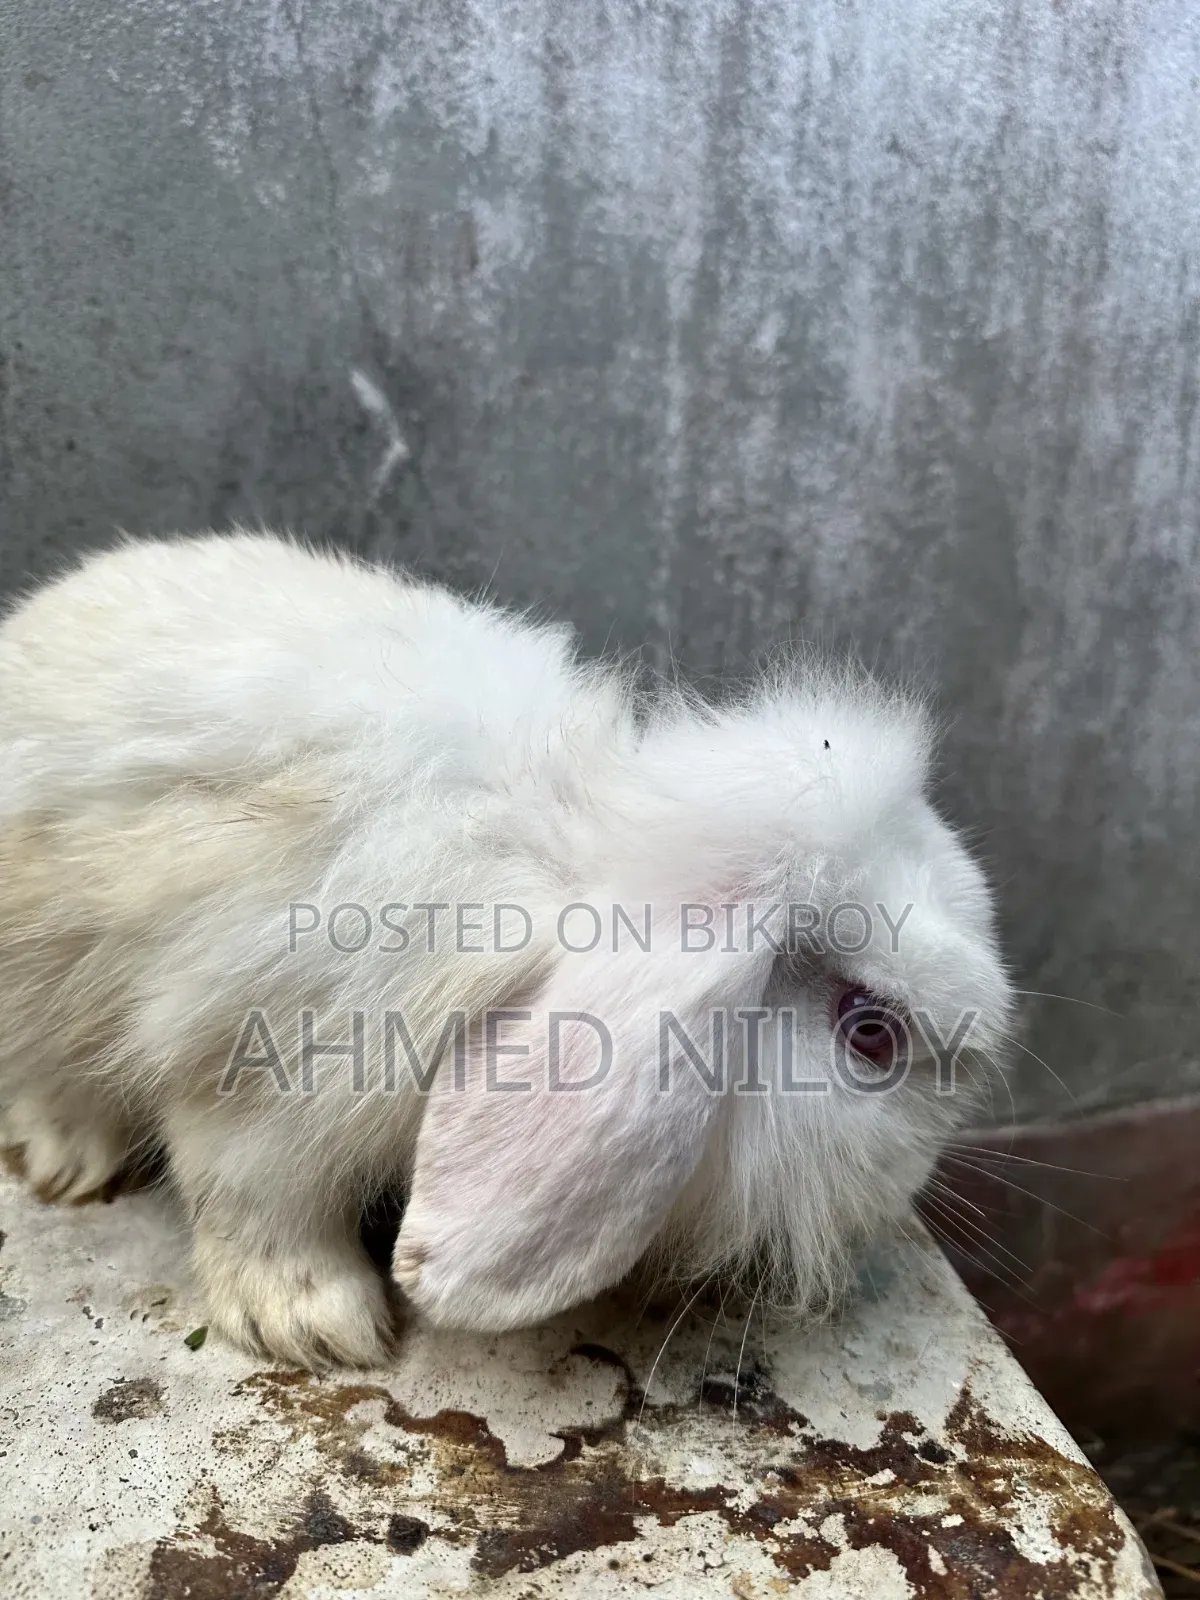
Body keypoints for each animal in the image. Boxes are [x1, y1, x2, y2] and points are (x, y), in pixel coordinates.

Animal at [0, 530, 1013, 1368]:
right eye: (871, 1034)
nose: (916, 1178)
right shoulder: (266, 1073)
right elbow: (254, 1199)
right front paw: (321, 1329)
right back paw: (68, 1164)